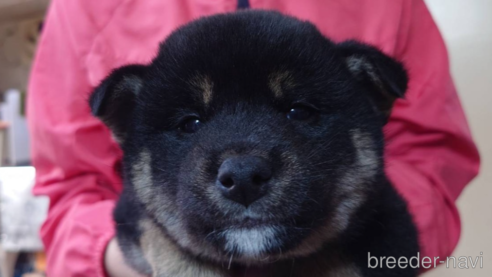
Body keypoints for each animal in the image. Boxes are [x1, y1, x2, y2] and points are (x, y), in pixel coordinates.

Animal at [88, 9, 418, 274]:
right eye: (190, 123)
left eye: (299, 111)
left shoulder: (390, 226)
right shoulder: (132, 213)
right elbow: (169, 243)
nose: (243, 177)